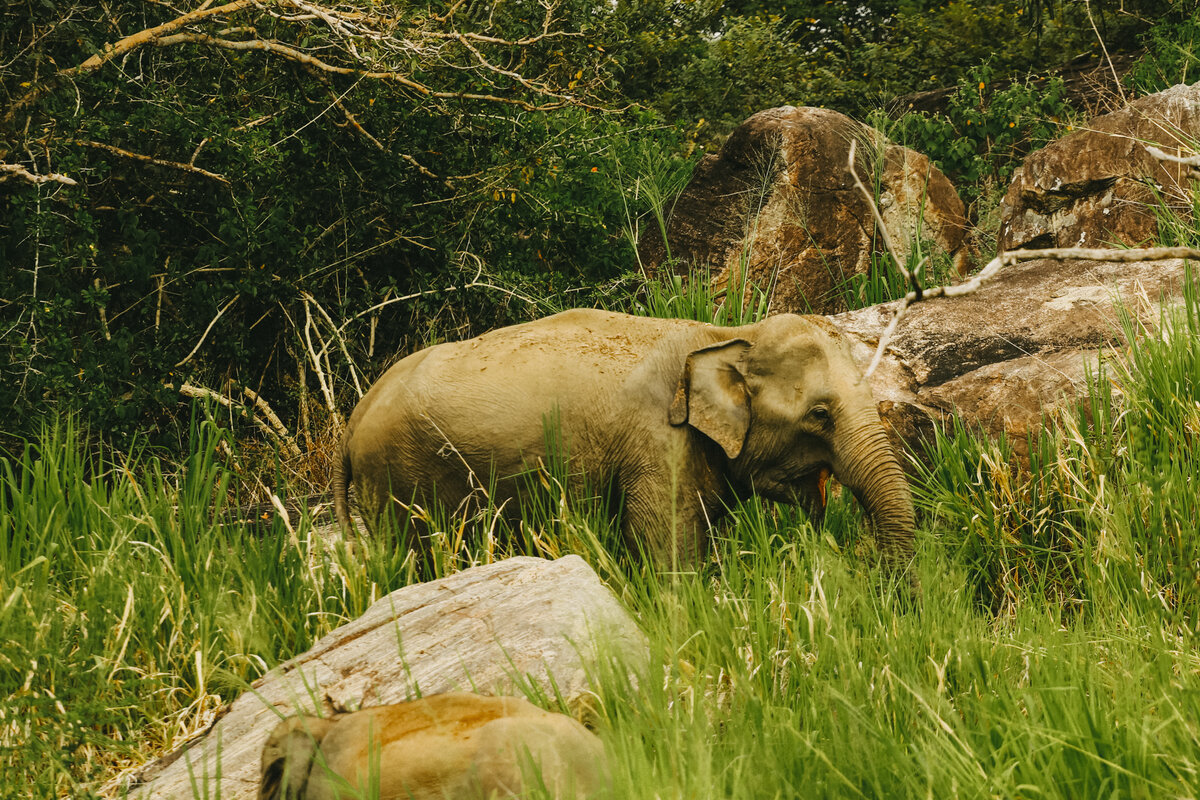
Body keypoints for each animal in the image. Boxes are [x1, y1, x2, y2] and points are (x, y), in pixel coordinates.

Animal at [333, 309, 912, 573]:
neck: (723, 334)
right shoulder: (658, 447)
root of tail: (352, 421)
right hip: (396, 481)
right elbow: (669, 558)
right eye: (820, 415)